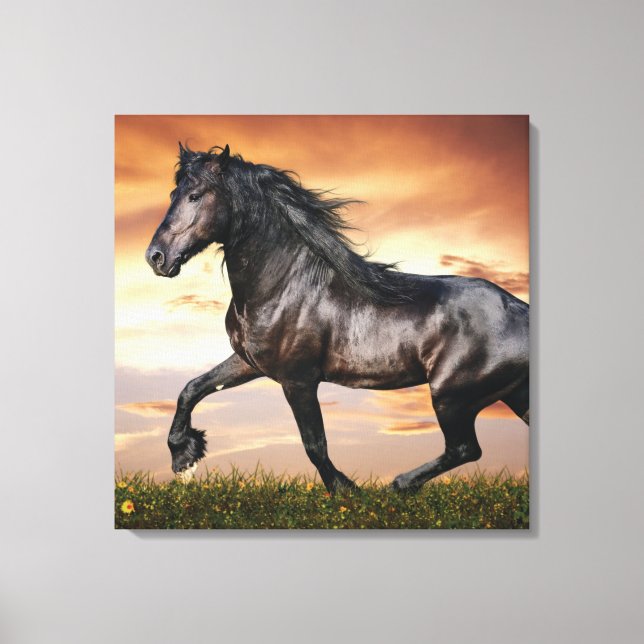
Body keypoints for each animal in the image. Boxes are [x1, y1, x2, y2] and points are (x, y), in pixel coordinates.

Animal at [145, 143, 529, 492]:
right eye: (173, 193)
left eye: (195, 196)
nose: (156, 257)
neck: (282, 284)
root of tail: (519, 310)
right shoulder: (249, 362)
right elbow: (192, 389)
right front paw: (184, 457)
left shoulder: (298, 380)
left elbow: (314, 444)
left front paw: (346, 491)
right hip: (510, 395)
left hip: (451, 397)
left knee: (465, 448)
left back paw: (398, 485)